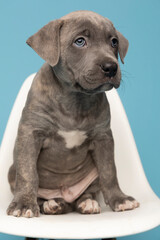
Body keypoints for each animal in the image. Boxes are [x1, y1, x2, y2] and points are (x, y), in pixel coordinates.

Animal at [6, 10, 139, 218]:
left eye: (114, 42)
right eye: (80, 41)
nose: (111, 67)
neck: (75, 98)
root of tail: (65, 195)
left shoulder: (103, 138)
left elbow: (109, 171)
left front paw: (120, 199)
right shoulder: (31, 134)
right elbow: (28, 173)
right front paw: (23, 204)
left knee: (86, 194)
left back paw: (86, 203)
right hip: (12, 171)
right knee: (39, 192)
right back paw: (51, 204)